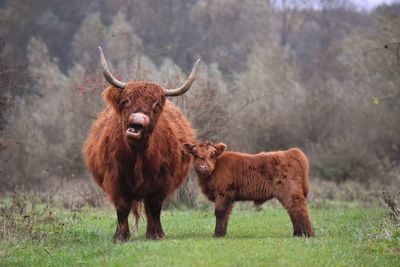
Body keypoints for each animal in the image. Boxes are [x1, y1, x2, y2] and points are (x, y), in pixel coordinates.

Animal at [83, 47, 200, 243]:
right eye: (126, 101)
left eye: (156, 104)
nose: (137, 121)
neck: (137, 154)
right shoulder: (115, 179)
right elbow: (122, 208)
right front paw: (121, 237)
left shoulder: (161, 181)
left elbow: (154, 207)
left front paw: (156, 234)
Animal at [183, 142, 314, 239]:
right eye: (195, 154)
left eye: (212, 153)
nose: (203, 167)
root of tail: (290, 152)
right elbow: (226, 214)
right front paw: (222, 233)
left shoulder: (223, 194)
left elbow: (220, 213)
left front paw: (217, 234)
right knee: (292, 209)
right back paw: (297, 233)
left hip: (290, 191)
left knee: (299, 208)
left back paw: (308, 233)